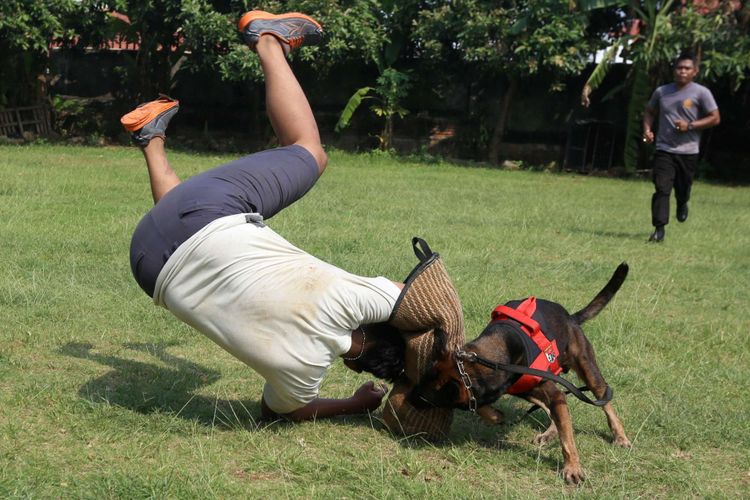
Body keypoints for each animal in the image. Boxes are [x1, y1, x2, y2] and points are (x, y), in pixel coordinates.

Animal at [412, 264, 636, 482]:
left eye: (425, 397)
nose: (409, 398)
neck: (494, 359)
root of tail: (571, 319)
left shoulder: (544, 390)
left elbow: (567, 439)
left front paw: (572, 468)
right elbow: (482, 405)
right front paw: (495, 415)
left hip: (587, 370)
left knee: (603, 400)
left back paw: (620, 436)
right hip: (528, 390)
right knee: (554, 407)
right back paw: (549, 433)